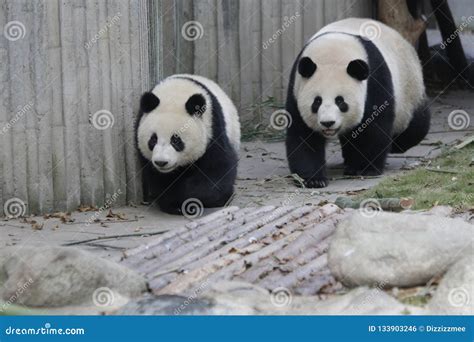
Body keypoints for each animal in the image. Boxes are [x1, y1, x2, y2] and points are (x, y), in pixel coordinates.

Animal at [136, 74, 241, 214]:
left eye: (176, 140)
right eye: (153, 140)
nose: (161, 162)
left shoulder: (213, 130)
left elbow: (216, 170)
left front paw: (187, 199)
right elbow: (158, 178)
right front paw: (172, 203)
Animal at [286, 17, 430, 188]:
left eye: (340, 101)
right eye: (317, 102)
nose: (328, 123)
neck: (333, 50)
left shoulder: (375, 81)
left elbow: (374, 128)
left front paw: (364, 169)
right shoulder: (296, 87)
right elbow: (302, 135)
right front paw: (313, 179)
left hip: (410, 89)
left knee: (416, 125)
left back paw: (395, 145)